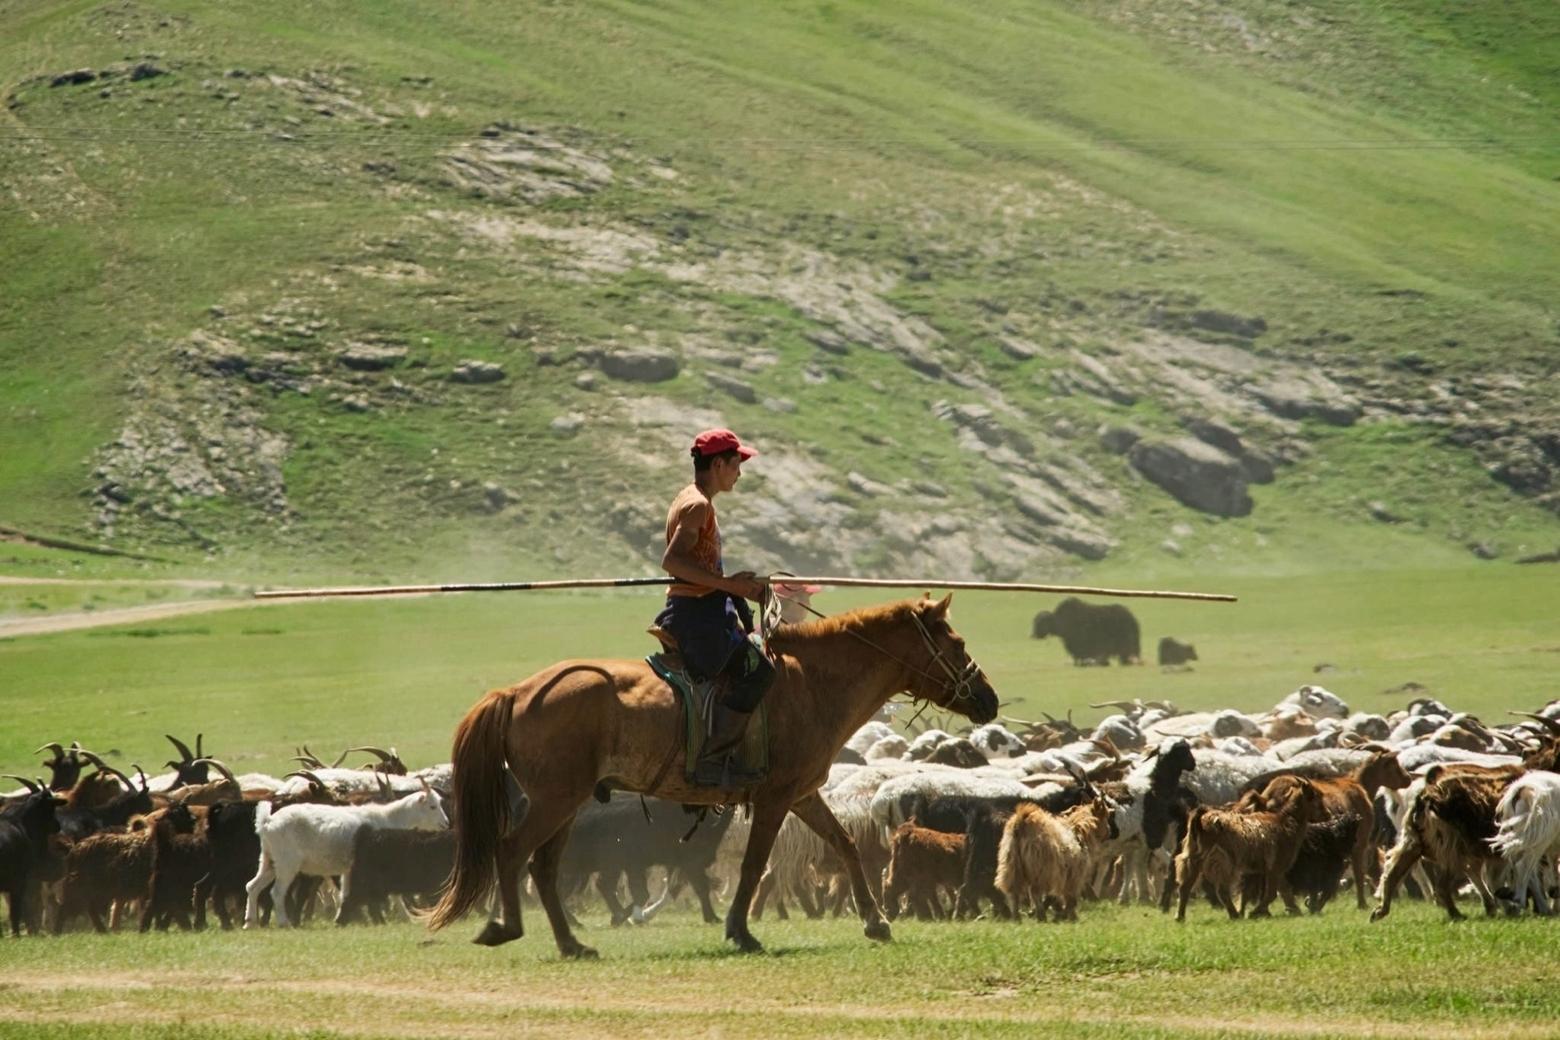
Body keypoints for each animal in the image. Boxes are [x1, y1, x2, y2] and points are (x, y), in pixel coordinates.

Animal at [243, 779, 449, 929]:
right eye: (432, 806)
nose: (446, 823)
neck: (390, 818)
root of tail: (267, 822)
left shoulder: (350, 869)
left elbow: (345, 893)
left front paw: (343, 917)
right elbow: (394, 894)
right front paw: (406, 917)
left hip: (269, 861)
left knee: (252, 886)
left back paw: (249, 922)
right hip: (287, 863)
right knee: (276, 892)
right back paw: (283, 923)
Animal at [424, 598, 998, 954]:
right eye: (957, 642)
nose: (988, 699)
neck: (811, 684)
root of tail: (518, 692)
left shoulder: (803, 796)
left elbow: (845, 845)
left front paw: (876, 922)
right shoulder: (774, 799)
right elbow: (753, 866)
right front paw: (741, 931)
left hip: (565, 803)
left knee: (542, 867)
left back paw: (573, 945)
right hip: (554, 800)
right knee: (512, 852)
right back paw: (505, 927)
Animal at [1173, 773, 1322, 916]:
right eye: (1313, 795)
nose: (1325, 811)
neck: (1286, 819)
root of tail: (1201, 819)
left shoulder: (1265, 869)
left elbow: (1278, 889)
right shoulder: (1276, 865)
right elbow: (1272, 893)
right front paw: (1255, 912)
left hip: (1192, 857)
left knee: (1185, 886)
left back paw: (1180, 916)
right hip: (1222, 859)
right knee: (1221, 889)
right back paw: (1234, 915)